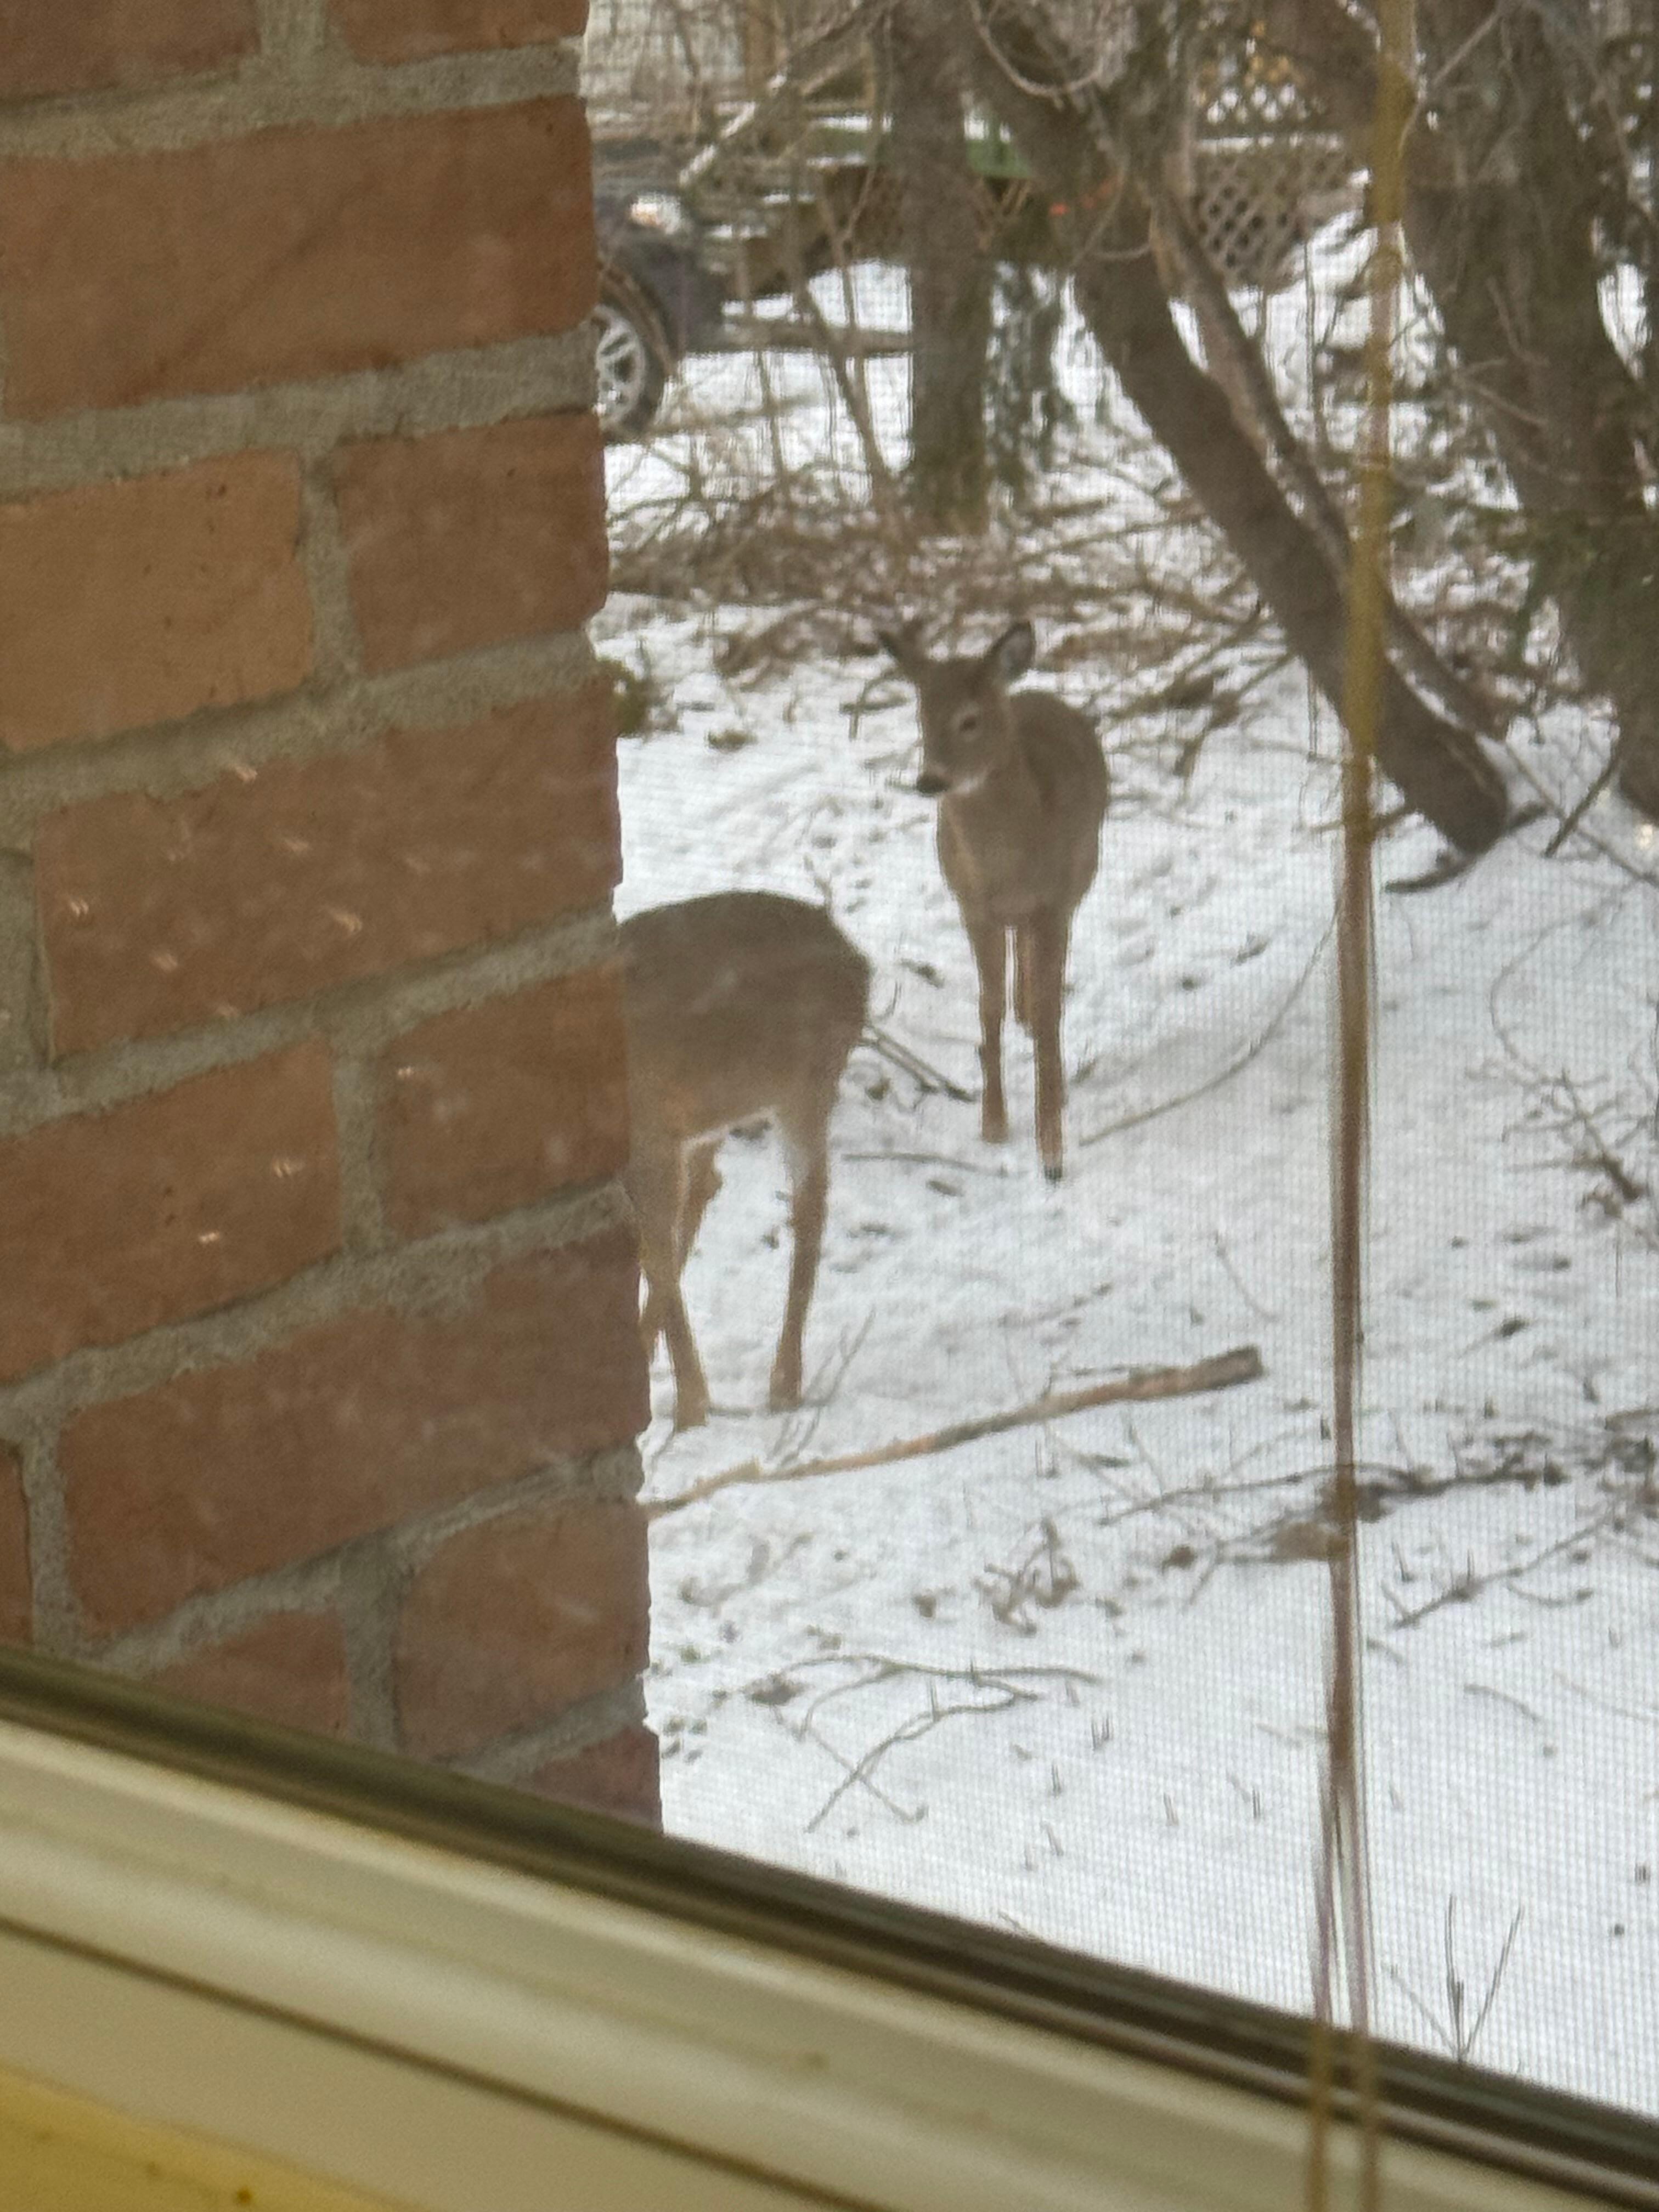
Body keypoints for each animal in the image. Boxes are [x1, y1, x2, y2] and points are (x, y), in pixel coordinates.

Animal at [619, 889, 871, 1431]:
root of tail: (860, 963)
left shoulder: (647, 1134)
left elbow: (655, 1250)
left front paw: (692, 1408)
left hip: (805, 1083)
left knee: (810, 1204)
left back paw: (784, 1386)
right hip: (713, 1109)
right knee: (707, 1186)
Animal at [876, 618, 1109, 1183]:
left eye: (970, 720)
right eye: (921, 716)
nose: (929, 781)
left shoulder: (1053, 903)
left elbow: (1050, 1012)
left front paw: (1052, 1149)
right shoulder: (972, 908)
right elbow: (987, 1007)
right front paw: (994, 1124)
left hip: (1081, 879)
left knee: (1044, 986)